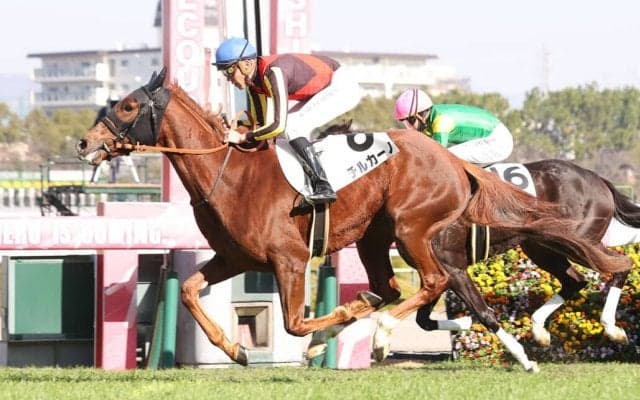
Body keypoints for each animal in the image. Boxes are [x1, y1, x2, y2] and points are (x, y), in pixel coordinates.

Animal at [75, 69, 631, 368]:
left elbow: (297, 322)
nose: (85, 143)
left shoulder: (289, 257)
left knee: (425, 284)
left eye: (128, 106)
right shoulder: (235, 256)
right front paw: (235, 350)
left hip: (413, 231)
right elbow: (191, 291)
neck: (229, 173)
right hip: (384, 238)